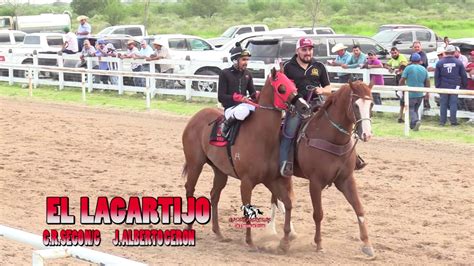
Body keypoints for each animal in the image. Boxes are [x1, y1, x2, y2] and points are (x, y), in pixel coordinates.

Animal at [181, 68, 304, 249]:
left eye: (293, 85)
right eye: (282, 88)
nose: (304, 105)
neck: (262, 138)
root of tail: (196, 117)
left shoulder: (273, 179)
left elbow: (287, 203)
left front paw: (286, 241)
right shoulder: (247, 182)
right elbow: (248, 209)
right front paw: (250, 241)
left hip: (219, 171)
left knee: (214, 195)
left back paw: (218, 233)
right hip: (195, 164)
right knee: (190, 189)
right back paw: (189, 227)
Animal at [270, 81, 378, 258]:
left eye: (371, 104)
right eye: (355, 105)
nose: (366, 134)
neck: (332, 137)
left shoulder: (346, 180)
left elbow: (359, 208)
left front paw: (367, 245)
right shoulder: (315, 183)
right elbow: (318, 213)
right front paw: (319, 244)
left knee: (278, 198)